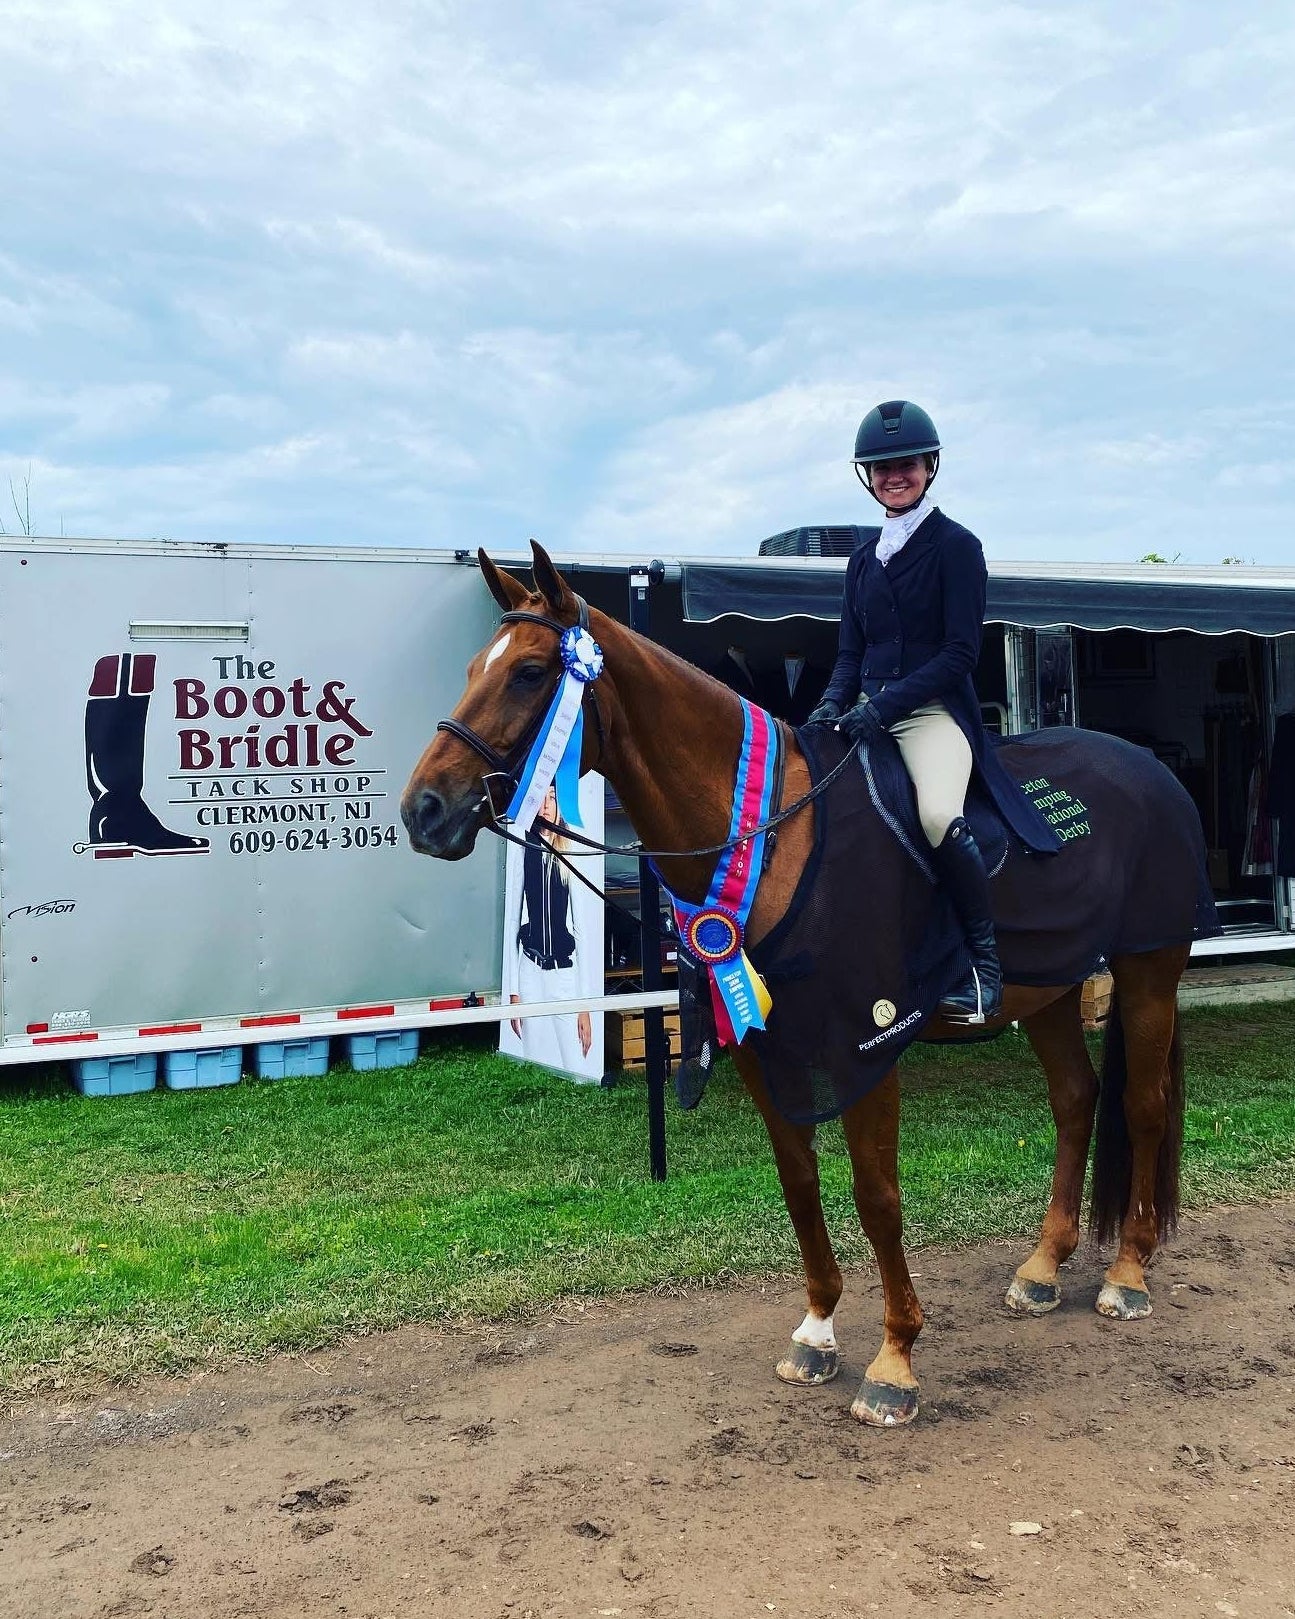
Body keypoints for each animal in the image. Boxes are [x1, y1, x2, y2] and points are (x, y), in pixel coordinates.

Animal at [402, 540, 1204, 1427]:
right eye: (475, 667)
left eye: (530, 672)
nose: (423, 810)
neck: (775, 835)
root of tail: (1147, 768)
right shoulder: (761, 1041)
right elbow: (798, 1181)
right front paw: (817, 1330)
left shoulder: (868, 1039)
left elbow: (877, 1194)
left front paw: (894, 1361)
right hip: (1052, 991)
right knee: (1074, 1098)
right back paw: (1040, 1268)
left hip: (1148, 966)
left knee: (1141, 1106)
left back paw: (1126, 1275)